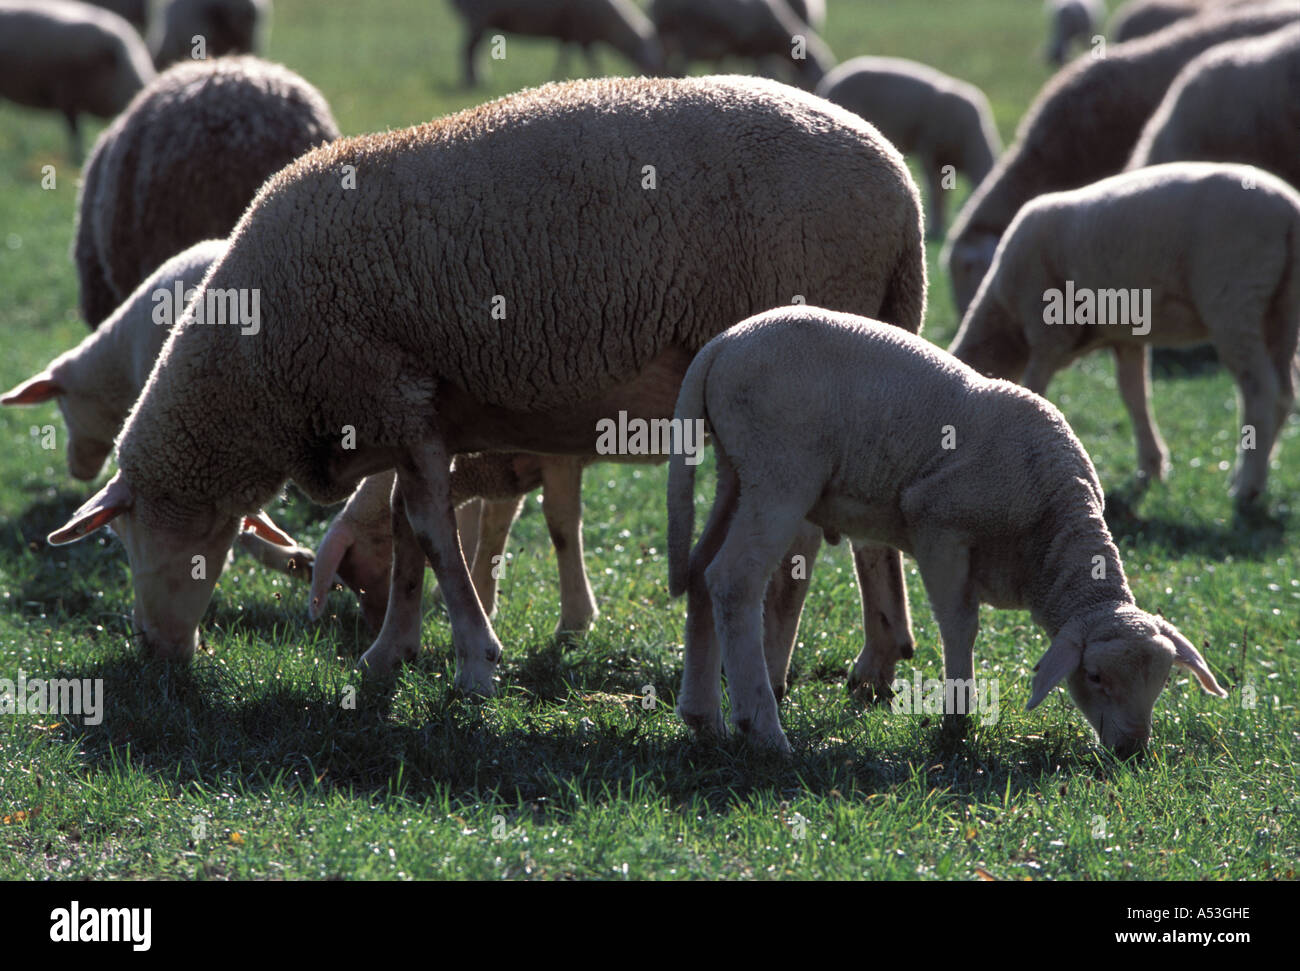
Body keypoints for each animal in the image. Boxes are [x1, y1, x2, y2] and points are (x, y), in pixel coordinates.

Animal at [448, 0, 663, 86]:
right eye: (652, 62)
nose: (657, 76)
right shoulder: (581, 33)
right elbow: (589, 59)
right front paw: (597, 75)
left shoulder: (571, 35)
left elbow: (565, 57)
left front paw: (558, 76)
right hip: (478, 17)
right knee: (467, 51)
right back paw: (473, 81)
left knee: (474, 50)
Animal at [648, 0, 835, 89]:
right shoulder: (754, 50)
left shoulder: (731, 50)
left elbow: (722, 67)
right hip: (688, 38)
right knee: (679, 67)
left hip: (665, 38)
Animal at [666, 306, 1227, 755]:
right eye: (1093, 676)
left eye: (1162, 683)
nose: (1132, 750)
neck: (1050, 529)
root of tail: (722, 345)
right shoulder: (939, 529)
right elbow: (961, 625)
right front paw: (957, 720)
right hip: (780, 471)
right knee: (734, 580)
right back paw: (763, 731)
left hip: (736, 471)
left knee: (699, 571)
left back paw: (704, 719)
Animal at [949, 162, 1300, 507]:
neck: (1004, 323)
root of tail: (1288, 211)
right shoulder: (1124, 337)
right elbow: (1134, 395)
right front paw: (1151, 467)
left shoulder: (1046, 332)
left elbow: (1035, 390)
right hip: (1282, 310)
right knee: (1285, 391)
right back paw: (1253, 474)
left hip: (1235, 297)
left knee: (1261, 390)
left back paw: (1246, 486)